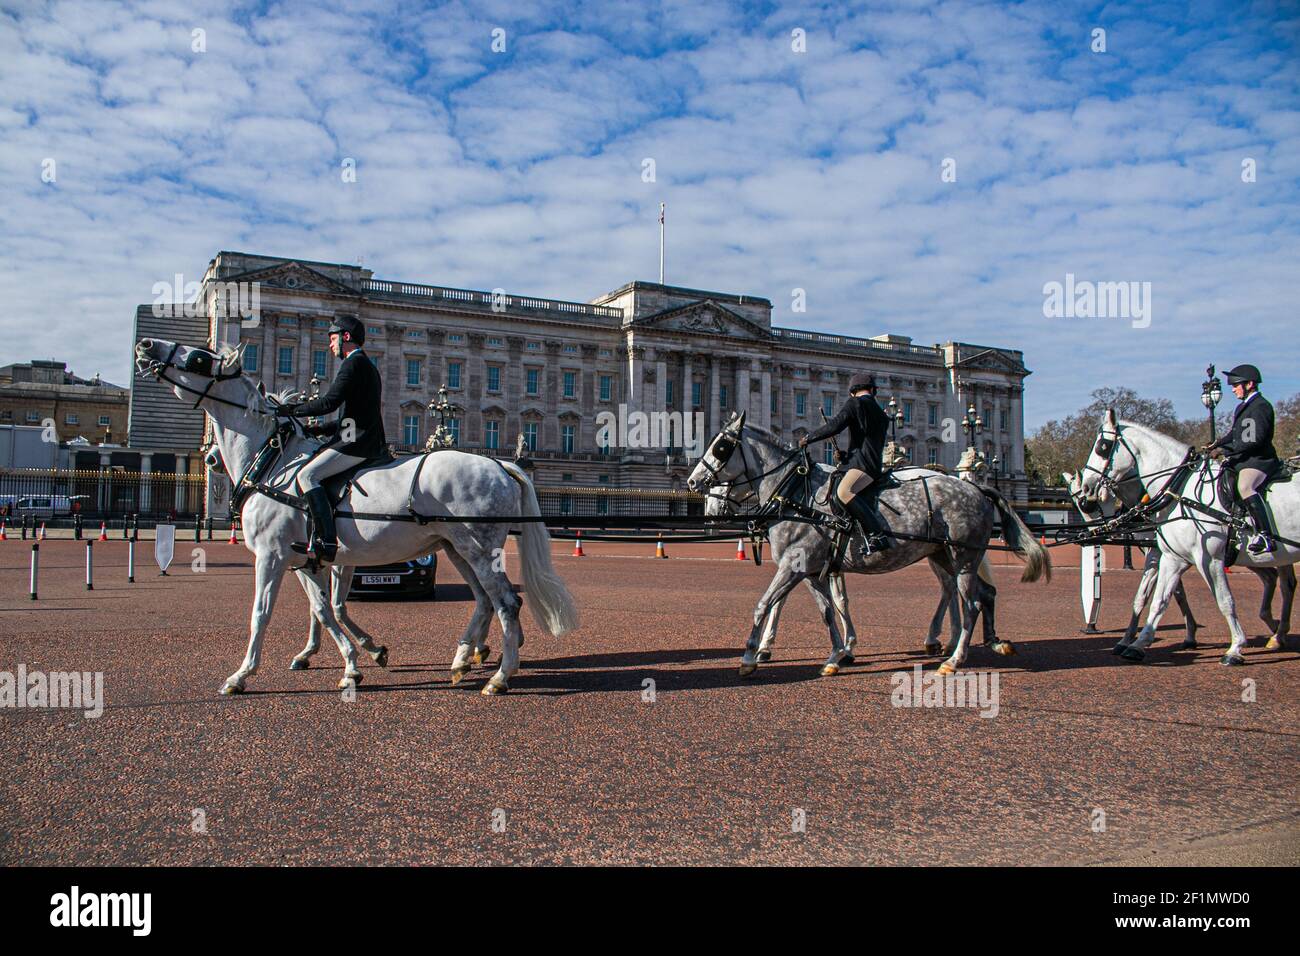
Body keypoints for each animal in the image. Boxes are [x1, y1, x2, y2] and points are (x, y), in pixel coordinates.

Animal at [137, 338, 579, 697]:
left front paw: (242, 675)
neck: (275, 464)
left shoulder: (272, 555)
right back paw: (465, 659)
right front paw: (356, 658)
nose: (146, 346)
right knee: (486, 600)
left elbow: (263, 614)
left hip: (479, 550)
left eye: (198, 358)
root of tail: (502, 464)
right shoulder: (309, 558)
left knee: (506, 602)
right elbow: (325, 608)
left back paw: (499, 677)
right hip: (459, 549)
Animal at [686, 416, 1050, 676]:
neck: (796, 494)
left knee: (971, 601)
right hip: (946, 555)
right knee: (978, 594)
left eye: (721, 447)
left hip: (962, 557)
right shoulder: (811, 569)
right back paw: (988, 642)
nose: (693, 482)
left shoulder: (795, 564)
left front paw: (750, 655)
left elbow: (766, 604)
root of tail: (975, 487)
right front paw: (838, 654)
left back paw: (954, 658)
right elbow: (827, 609)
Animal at [1076, 411, 1300, 665]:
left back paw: (1277, 632)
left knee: (1284, 583)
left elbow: (1223, 599)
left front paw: (1234, 648)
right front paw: (1135, 642)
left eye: (1103, 446)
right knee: (1275, 580)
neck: (1178, 489)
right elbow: (1156, 598)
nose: (1086, 494)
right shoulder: (1171, 556)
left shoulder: (1206, 558)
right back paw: (1277, 633)